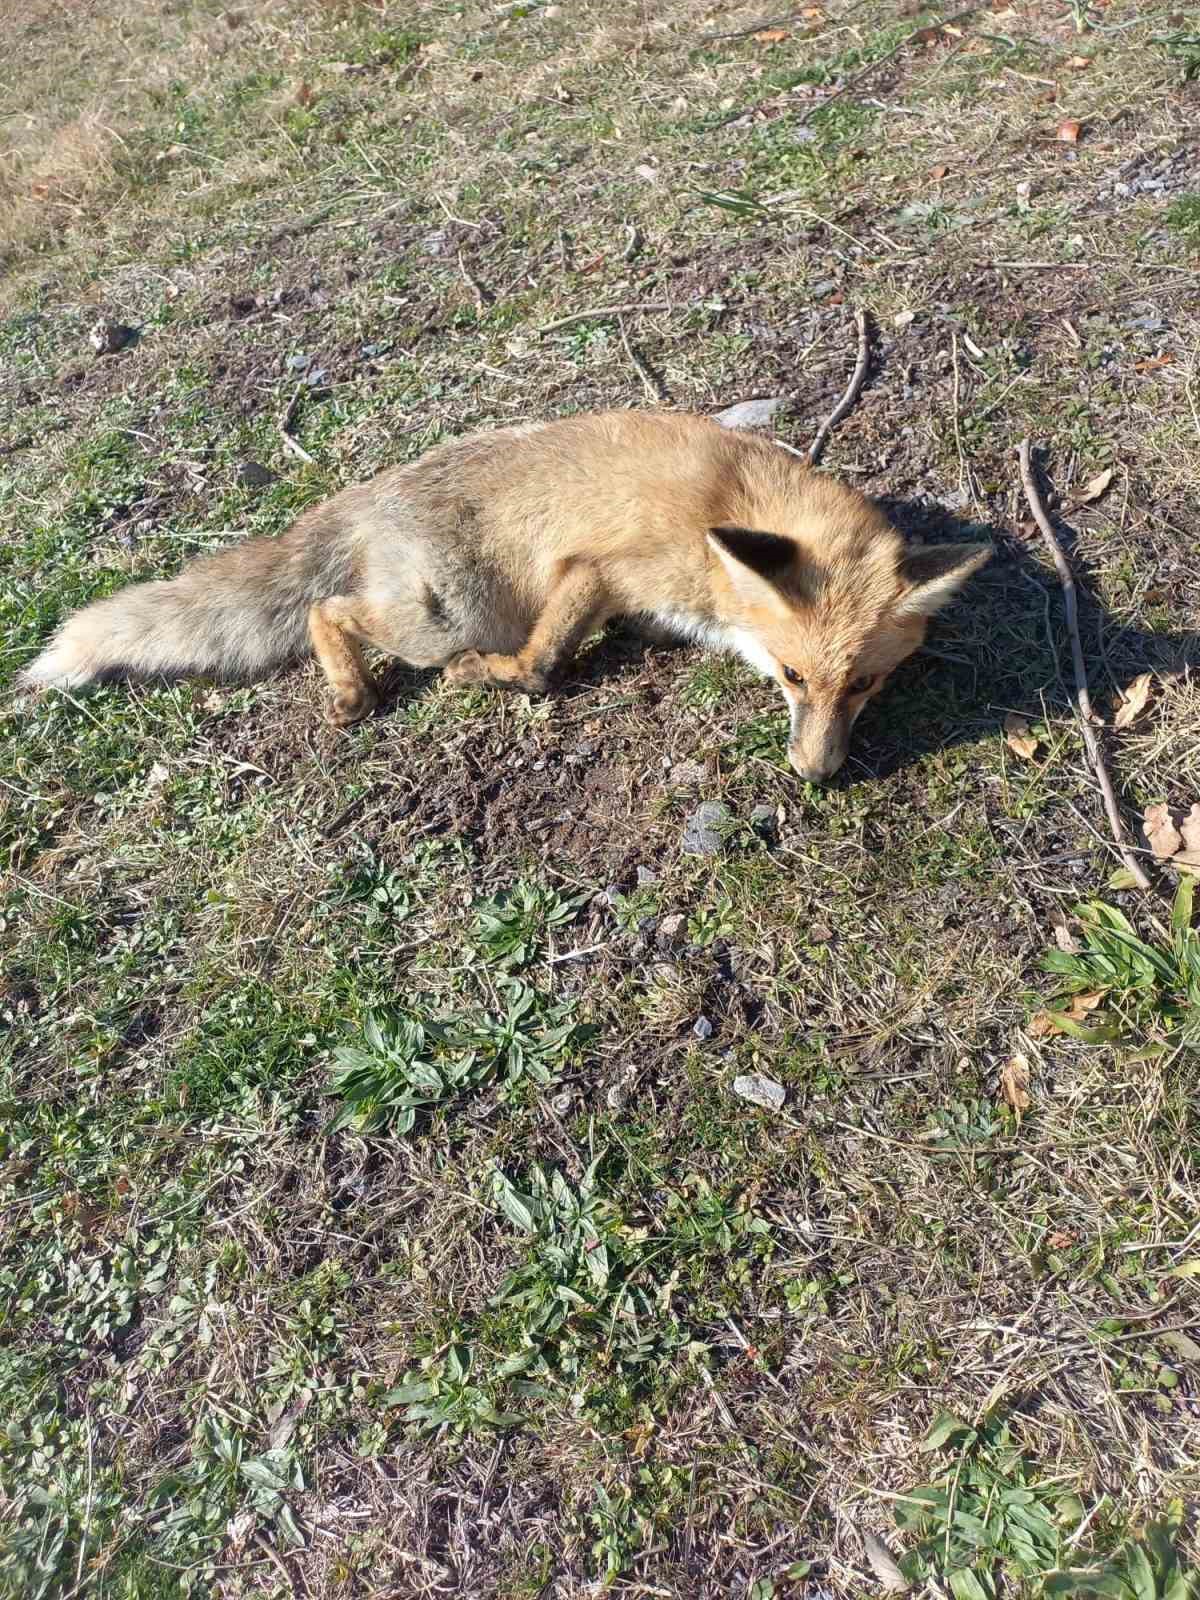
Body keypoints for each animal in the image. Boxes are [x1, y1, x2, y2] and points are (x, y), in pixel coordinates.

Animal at [21, 409, 998, 784]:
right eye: (793, 678)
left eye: (863, 685)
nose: (816, 774)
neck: (725, 512)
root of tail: (368, 493)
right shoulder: (597, 569)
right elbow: (542, 665)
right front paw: (501, 679)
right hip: (446, 614)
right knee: (324, 610)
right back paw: (349, 687)